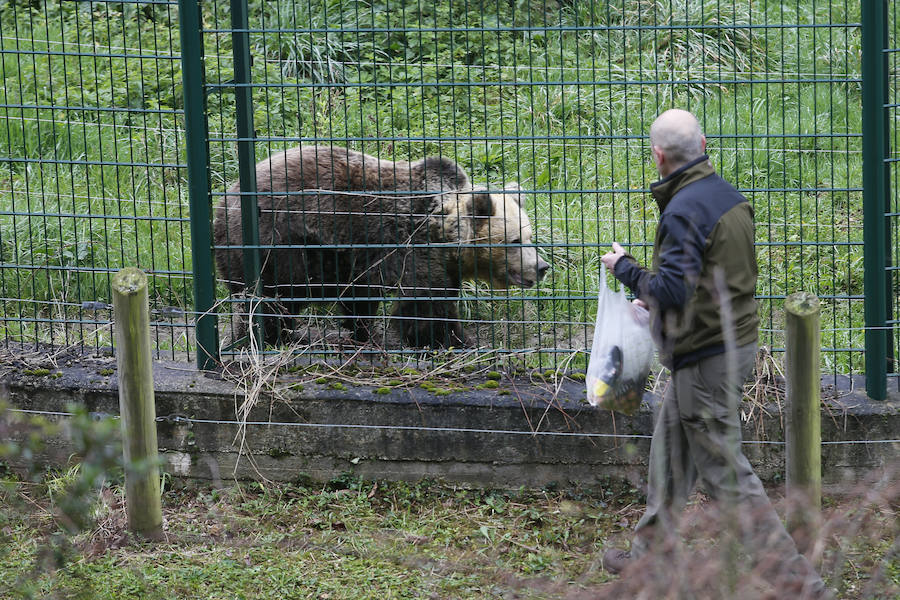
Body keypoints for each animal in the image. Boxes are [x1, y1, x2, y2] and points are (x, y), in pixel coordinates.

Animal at [214, 146, 548, 346]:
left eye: (530, 236)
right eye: (515, 241)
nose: (542, 267)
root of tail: (223, 200)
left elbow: (361, 299)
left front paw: (363, 332)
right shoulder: (412, 245)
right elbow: (424, 306)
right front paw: (456, 340)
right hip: (279, 239)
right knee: (275, 297)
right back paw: (273, 336)